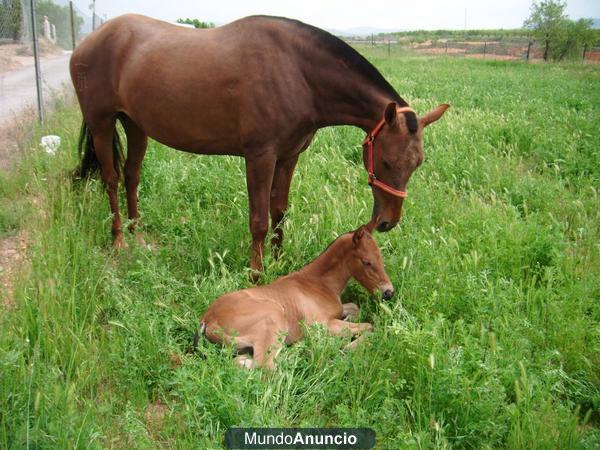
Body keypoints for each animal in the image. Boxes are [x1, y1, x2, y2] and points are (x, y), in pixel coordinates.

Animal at [70, 14, 448, 272]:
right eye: (386, 162)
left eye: (417, 164)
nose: (387, 222)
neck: (298, 73)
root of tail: (88, 42)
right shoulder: (260, 157)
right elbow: (259, 220)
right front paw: (256, 273)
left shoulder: (289, 156)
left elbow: (279, 210)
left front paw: (279, 262)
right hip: (102, 123)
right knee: (112, 180)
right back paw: (119, 241)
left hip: (136, 126)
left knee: (132, 176)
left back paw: (138, 237)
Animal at [197, 224, 394, 370]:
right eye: (366, 262)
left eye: (381, 257)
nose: (388, 292)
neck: (317, 283)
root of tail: (207, 320)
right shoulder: (322, 325)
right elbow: (369, 327)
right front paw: (347, 346)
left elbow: (354, 308)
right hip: (274, 319)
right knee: (267, 369)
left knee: (242, 362)